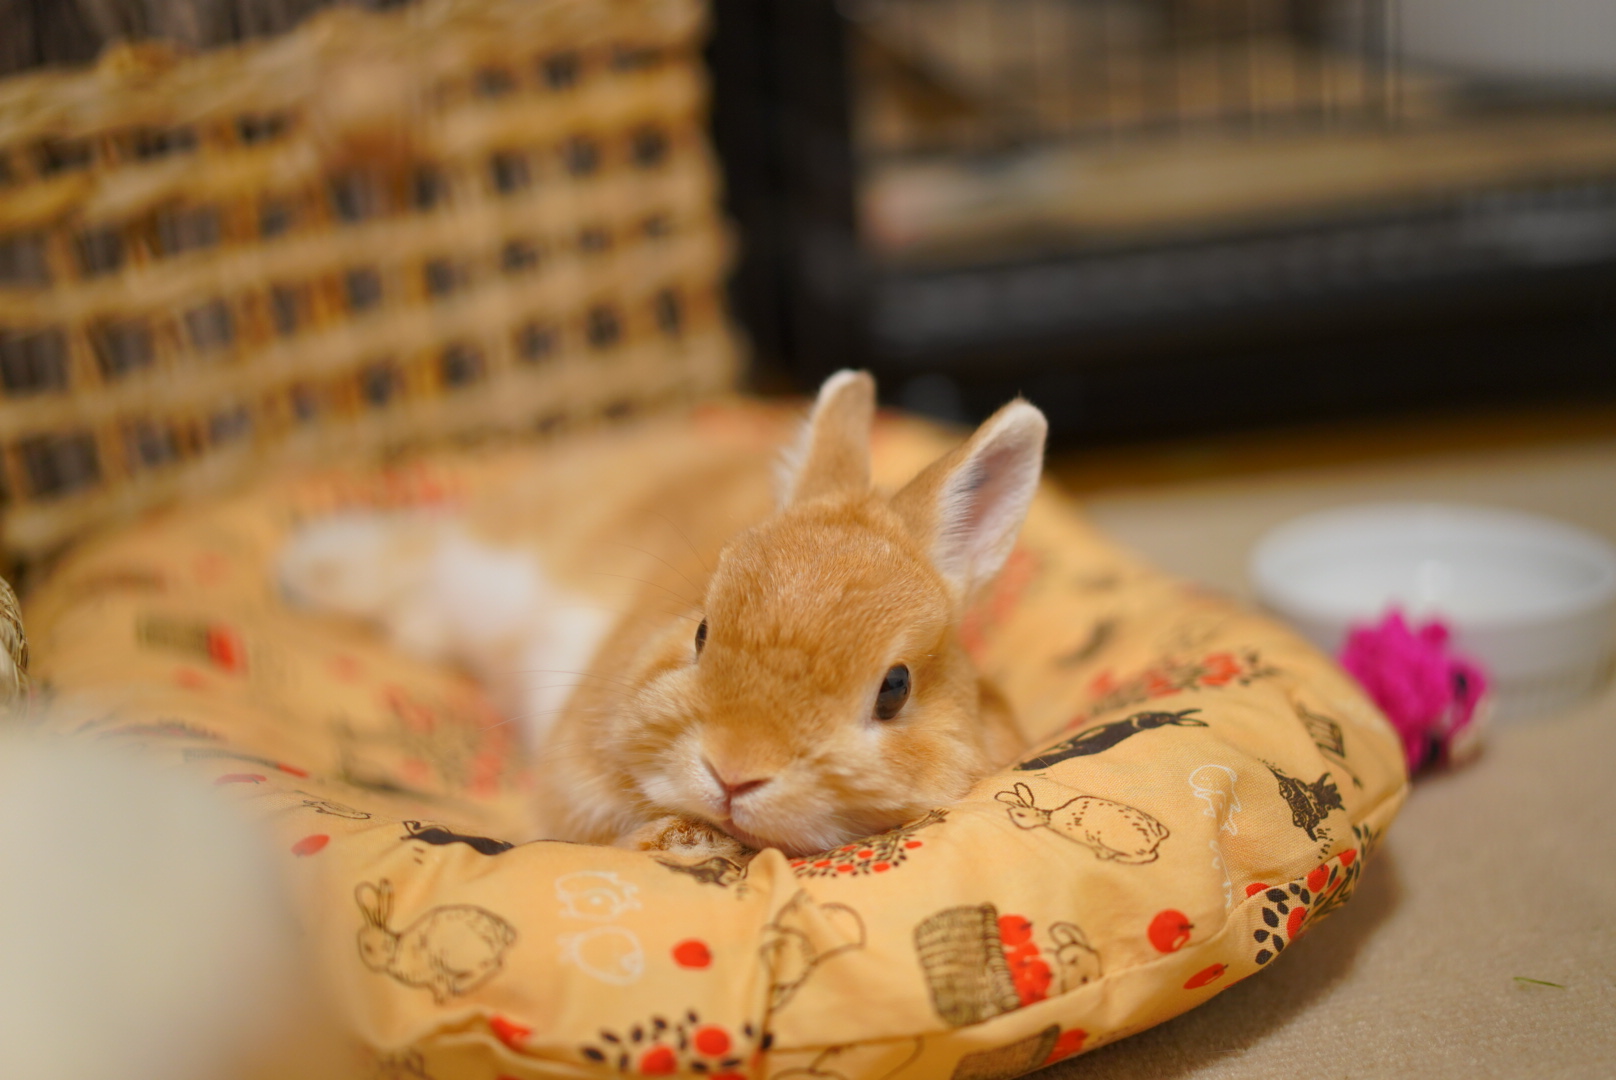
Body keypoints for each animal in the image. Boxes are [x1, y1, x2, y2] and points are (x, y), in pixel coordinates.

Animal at [355, 879, 517, 1002]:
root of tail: (502, 934)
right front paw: (440, 998)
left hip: (458, 957)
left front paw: (440, 998)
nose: (384, 958)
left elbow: (439, 985)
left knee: (493, 966)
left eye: (368, 948)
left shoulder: (434, 974)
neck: (398, 950)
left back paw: (459, 986)